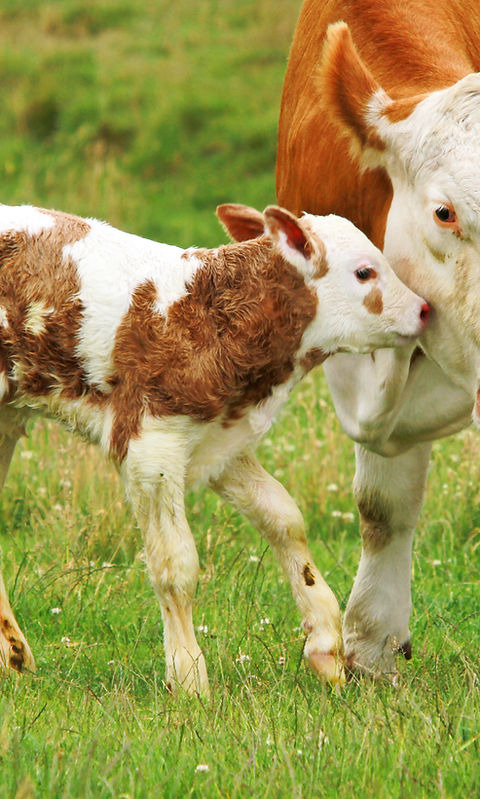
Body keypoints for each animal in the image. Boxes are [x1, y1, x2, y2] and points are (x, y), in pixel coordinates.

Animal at [0, 202, 427, 693]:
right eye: (364, 271)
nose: (424, 309)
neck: (208, 314)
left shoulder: (222, 439)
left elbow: (284, 519)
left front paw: (325, 644)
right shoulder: (151, 445)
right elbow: (175, 564)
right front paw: (188, 677)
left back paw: (13, 654)